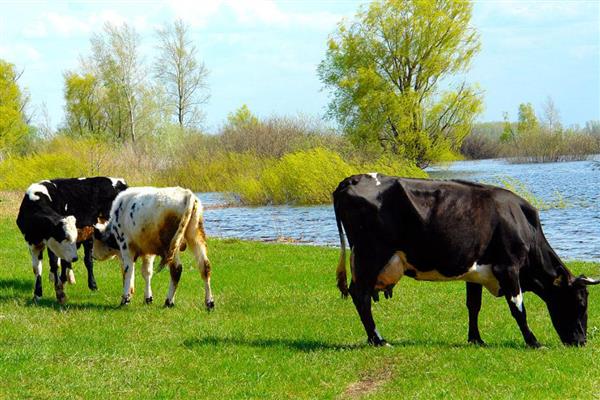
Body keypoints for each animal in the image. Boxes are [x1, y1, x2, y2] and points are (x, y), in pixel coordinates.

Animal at [332, 174, 600, 346]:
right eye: (581, 302)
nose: (582, 342)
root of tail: (352, 179)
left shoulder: (475, 272)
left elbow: (473, 306)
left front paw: (476, 339)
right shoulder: (508, 267)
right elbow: (518, 308)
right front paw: (533, 341)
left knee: (359, 295)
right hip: (370, 255)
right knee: (361, 295)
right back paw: (378, 339)